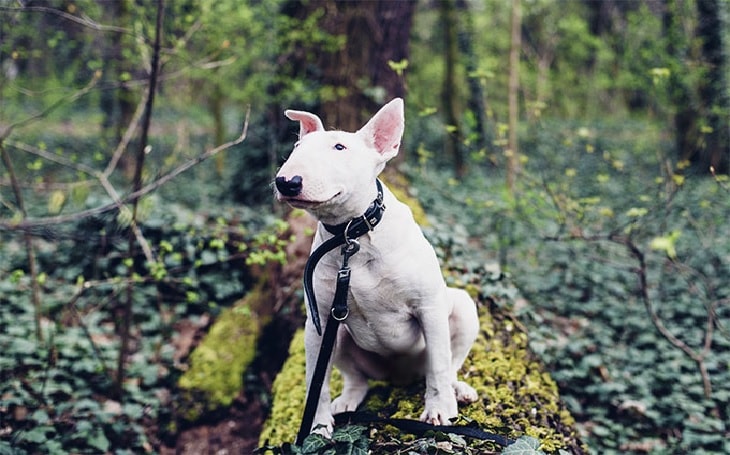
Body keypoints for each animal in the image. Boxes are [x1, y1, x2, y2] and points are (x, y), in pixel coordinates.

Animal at [272, 98, 478, 436]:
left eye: (339, 147)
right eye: (297, 147)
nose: (286, 182)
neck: (351, 236)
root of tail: (397, 377)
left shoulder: (429, 306)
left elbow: (438, 364)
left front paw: (439, 411)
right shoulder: (318, 324)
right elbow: (317, 380)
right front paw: (317, 427)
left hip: (461, 307)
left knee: (448, 365)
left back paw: (457, 390)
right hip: (341, 336)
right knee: (357, 379)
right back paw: (347, 400)